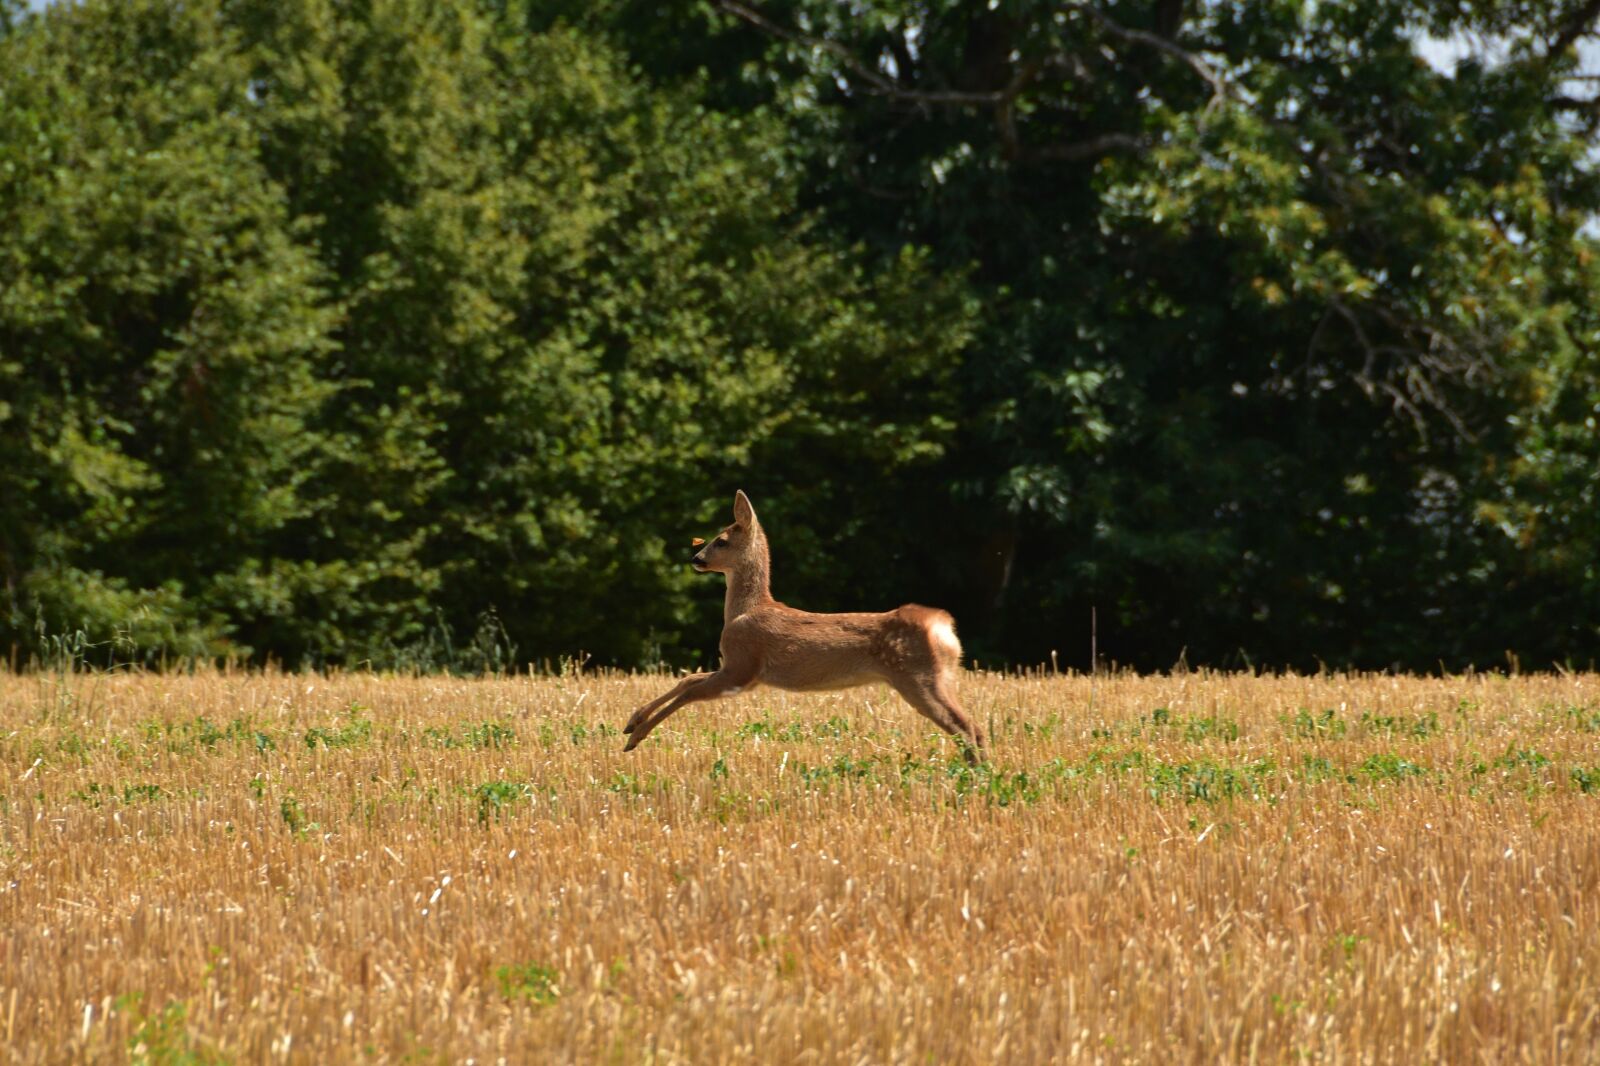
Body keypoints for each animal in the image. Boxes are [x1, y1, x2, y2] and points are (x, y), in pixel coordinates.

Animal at [622, 490, 987, 763]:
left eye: (721, 540)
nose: (696, 559)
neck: (745, 611)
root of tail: (943, 627)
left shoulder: (743, 666)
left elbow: (691, 691)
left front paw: (635, 737)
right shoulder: (743, 672)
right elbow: (687, 680)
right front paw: (631, 722)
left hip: (917, 677)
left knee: (965, 726)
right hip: (939, 676)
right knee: (973, 726)